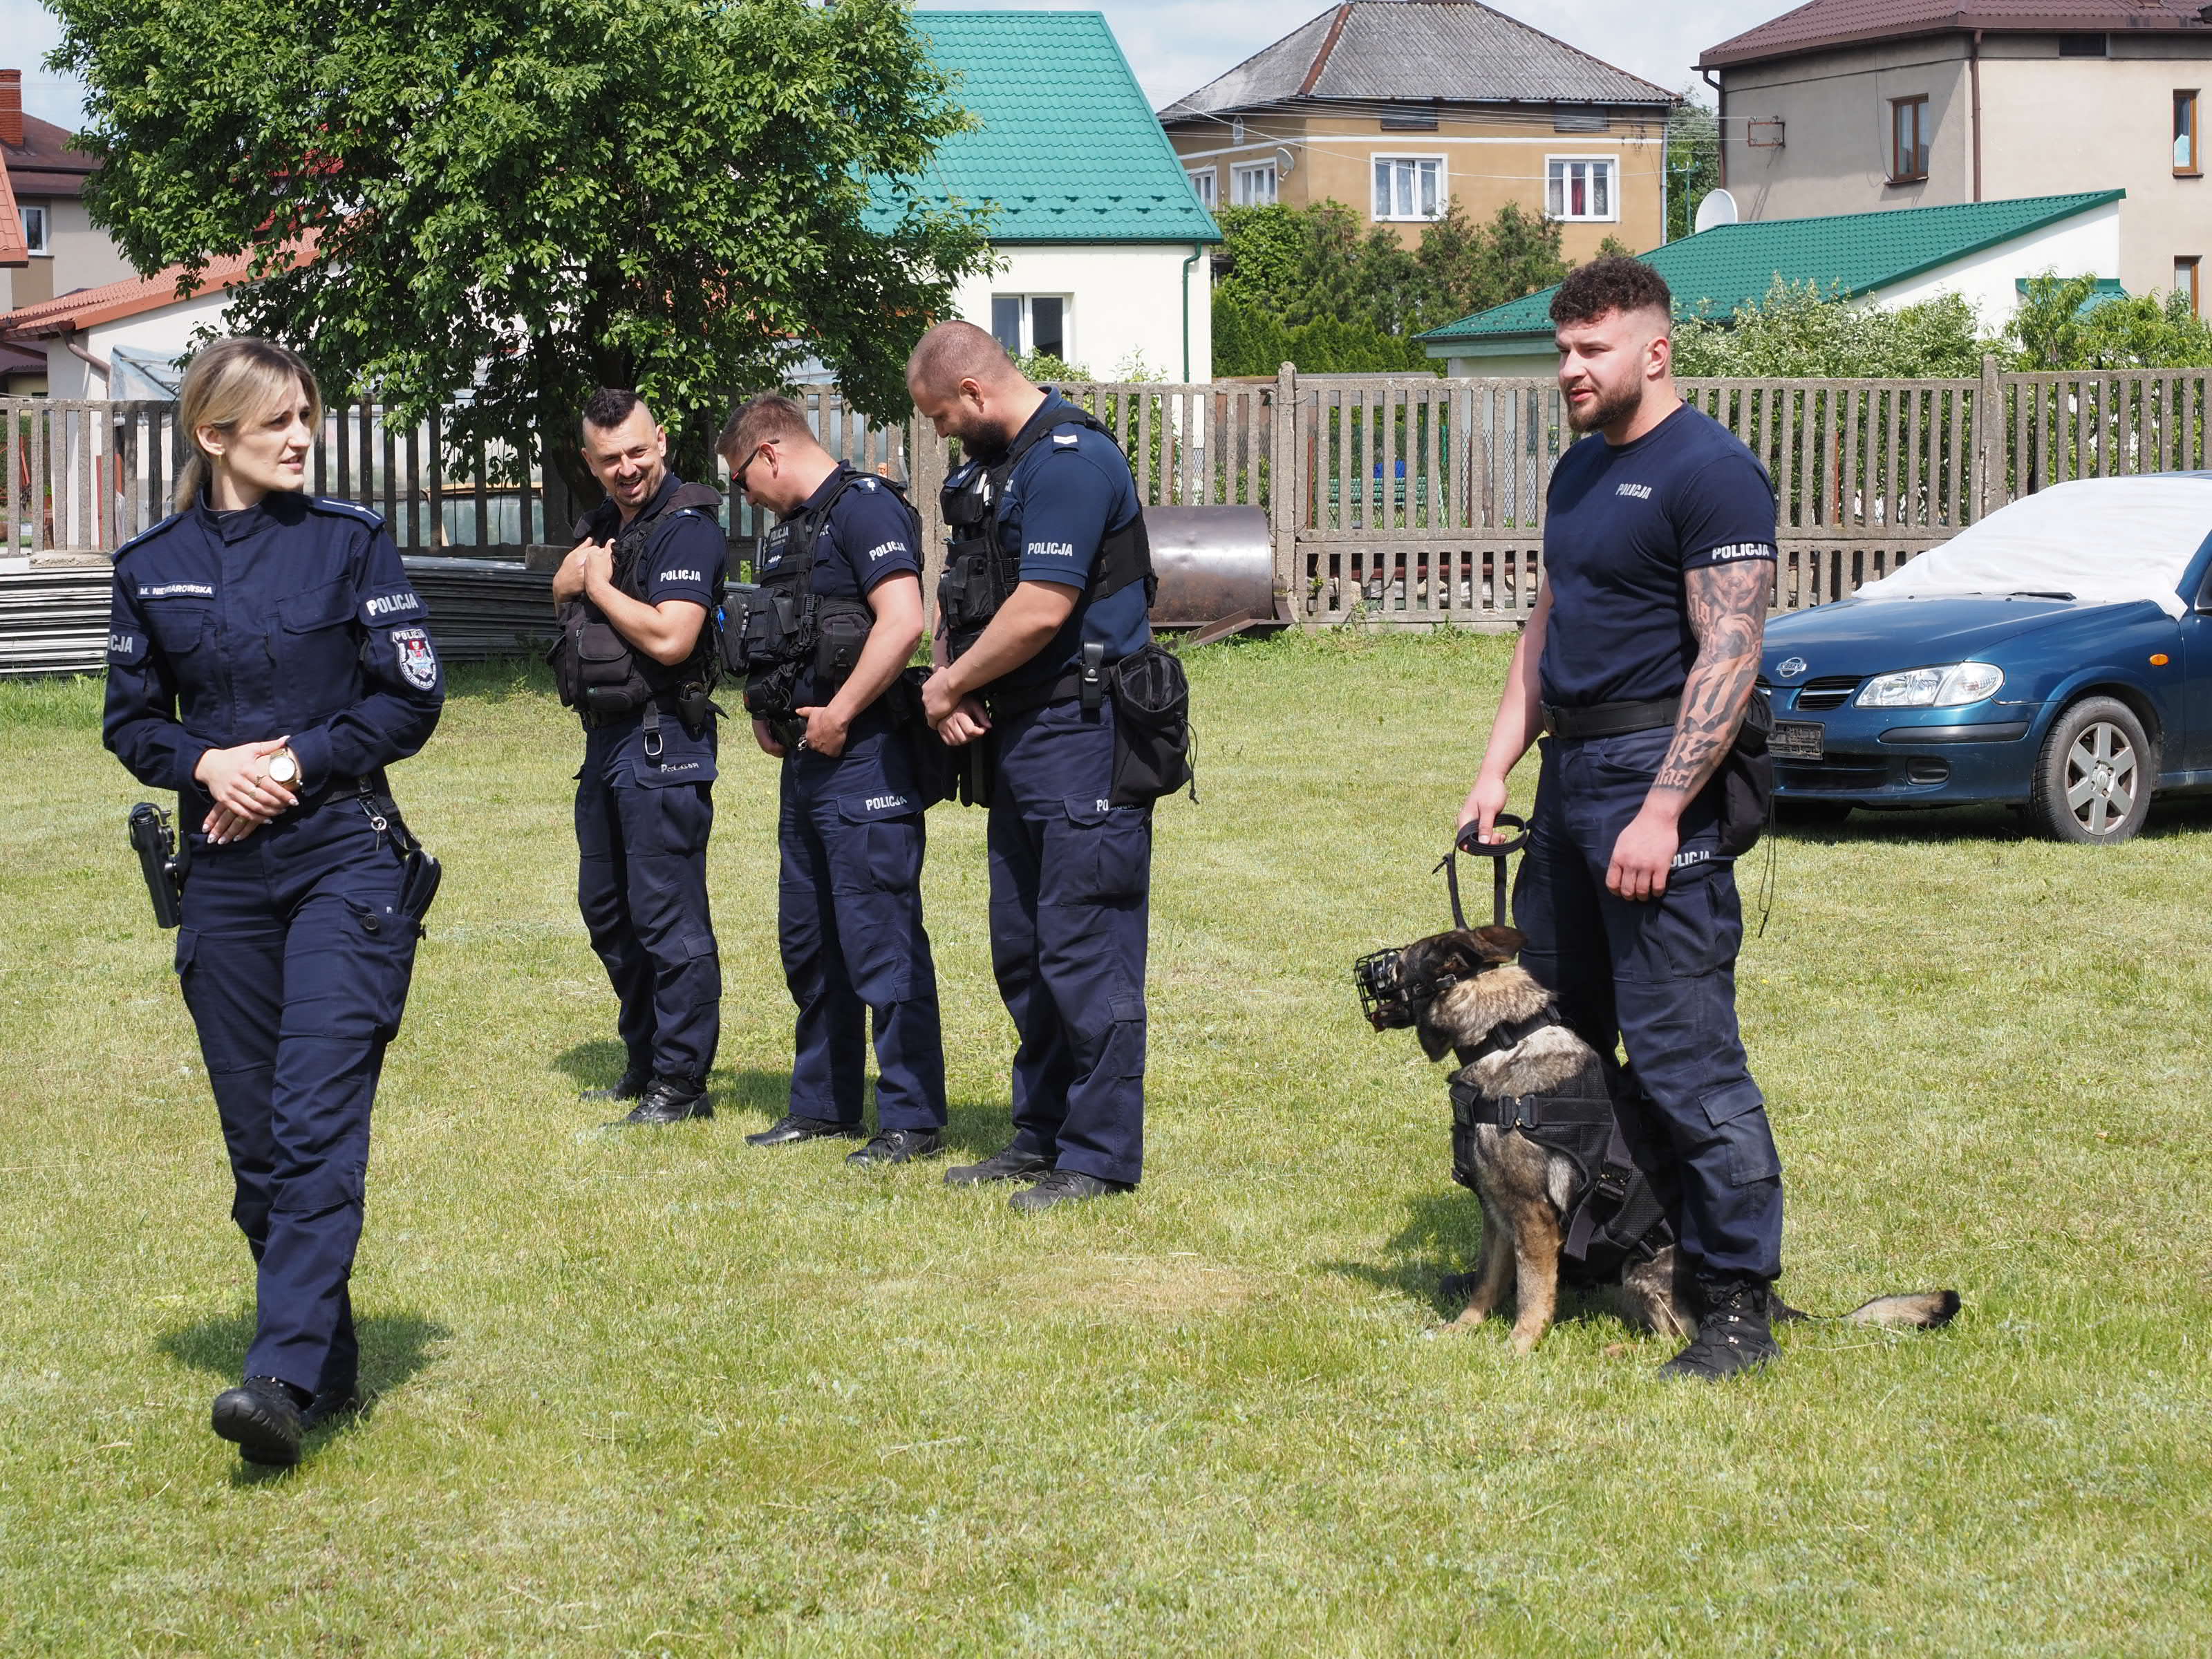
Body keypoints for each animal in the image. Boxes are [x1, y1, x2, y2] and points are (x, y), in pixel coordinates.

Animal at [1387, 925, 1961, 1355]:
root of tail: (1771, 1303)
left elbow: (1532, 1295)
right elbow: (1488, 1280)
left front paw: (1518, 1347)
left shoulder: (1534, 1220)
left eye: (1397, 966)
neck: (1504, 1036)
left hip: (1644, 1268)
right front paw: (1463, 1329)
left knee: (1677, 1335)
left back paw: (1623, 1351)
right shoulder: (1496, 1212)